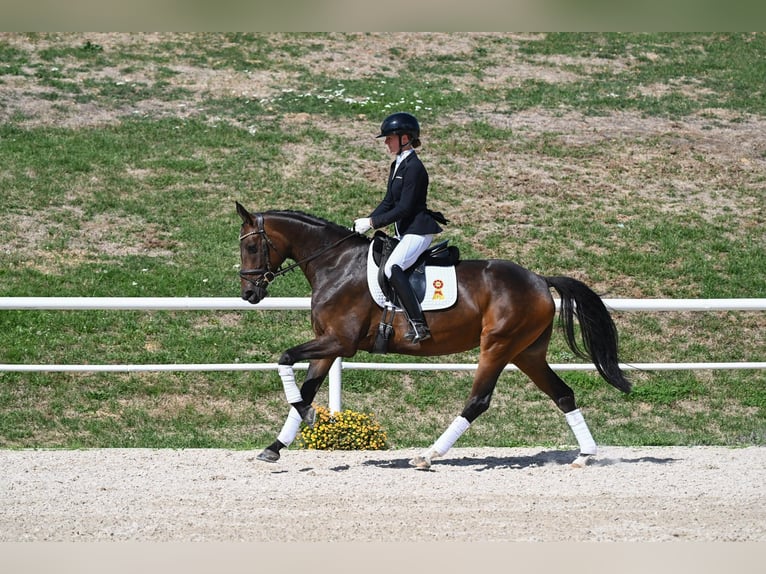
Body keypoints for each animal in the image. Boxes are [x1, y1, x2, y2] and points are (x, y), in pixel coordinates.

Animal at [236, 203, 631, 469]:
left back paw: (428, 455)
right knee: (563, 394)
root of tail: (539, 279)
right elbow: (305, 388)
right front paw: (276, 446)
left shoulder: (339, 341)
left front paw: (309, 417)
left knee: (478, 400)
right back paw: (584, 455)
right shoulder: (328, 345)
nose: (249, 294)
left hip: (498, 346)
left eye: (252, 247)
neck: (335, 265)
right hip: (526, 352)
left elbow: (285, 359)